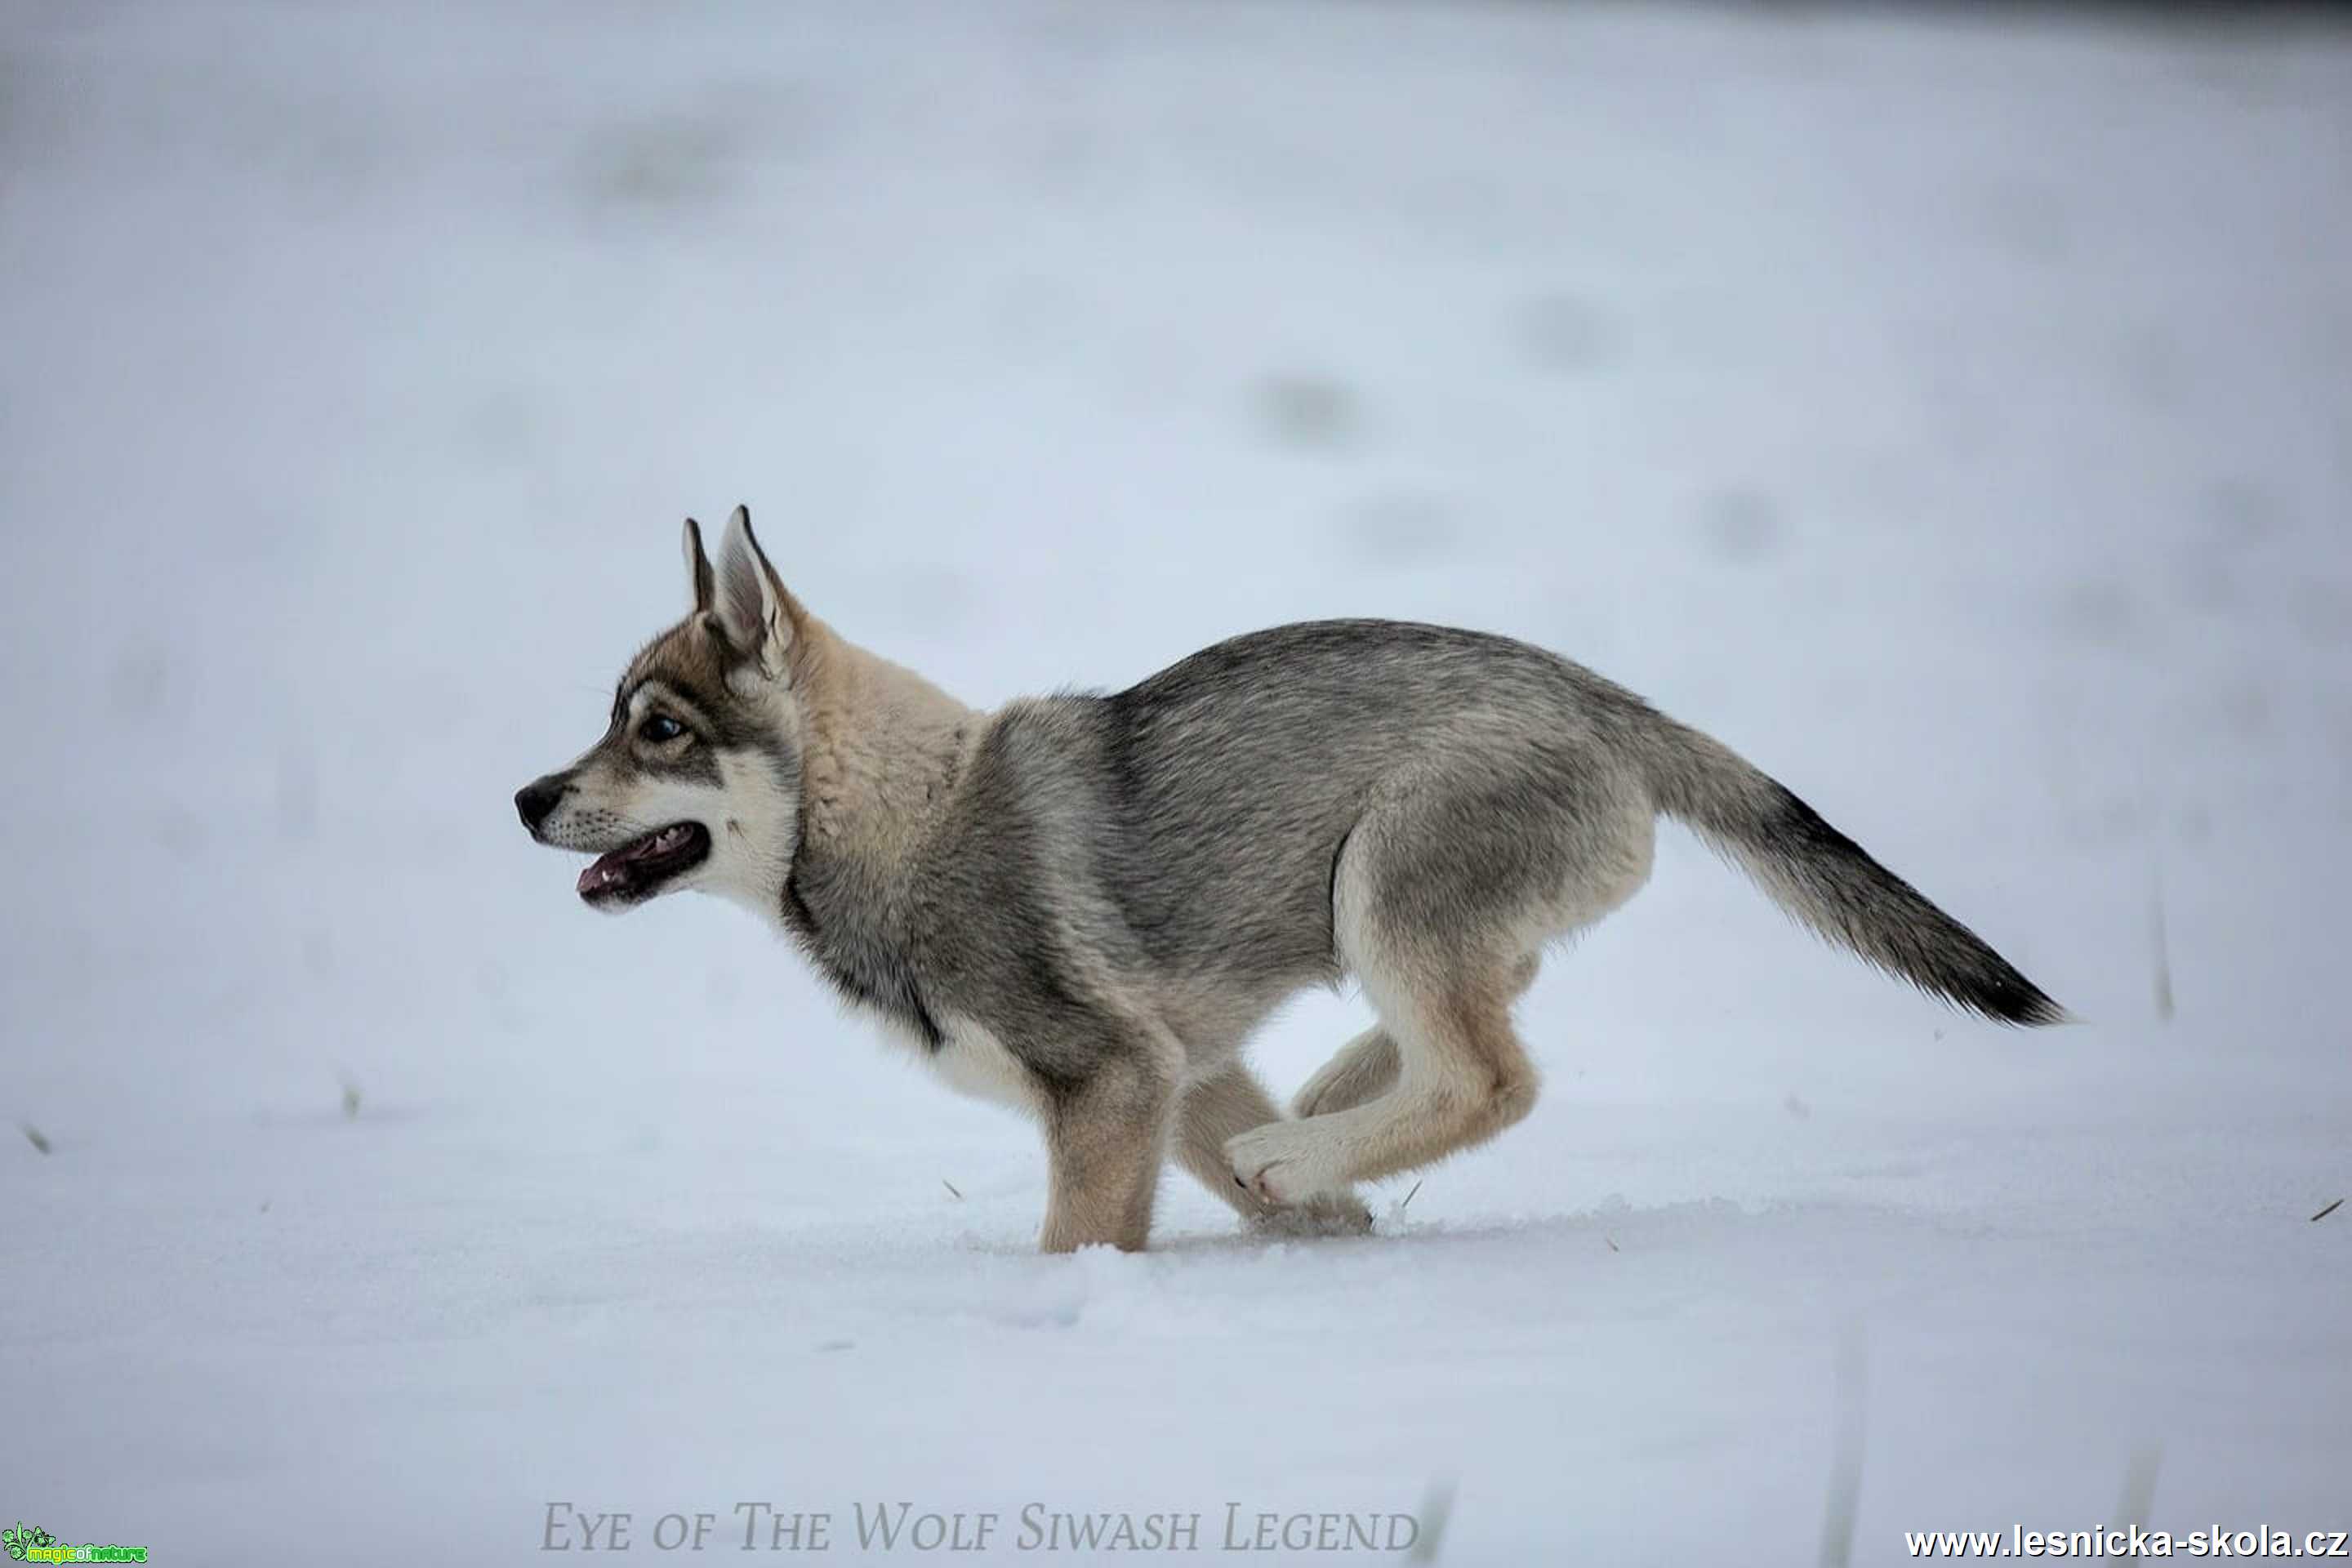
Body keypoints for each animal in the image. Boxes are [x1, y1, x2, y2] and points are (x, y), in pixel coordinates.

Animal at [514, 510, 2060, 1259]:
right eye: (616, 722)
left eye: (657, 729)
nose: (526, 800)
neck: (896, 819)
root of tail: (1609, 701)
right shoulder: (1176, 1073)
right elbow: (1233, 1189)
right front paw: (1324, 1221)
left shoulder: (1109, 1077)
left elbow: (1080, 1243)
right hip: (1397, 916)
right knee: (1479, 1021)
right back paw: (1329, 1113)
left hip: (1387, 880)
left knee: (1494, 1078)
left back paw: (1316, 1134)